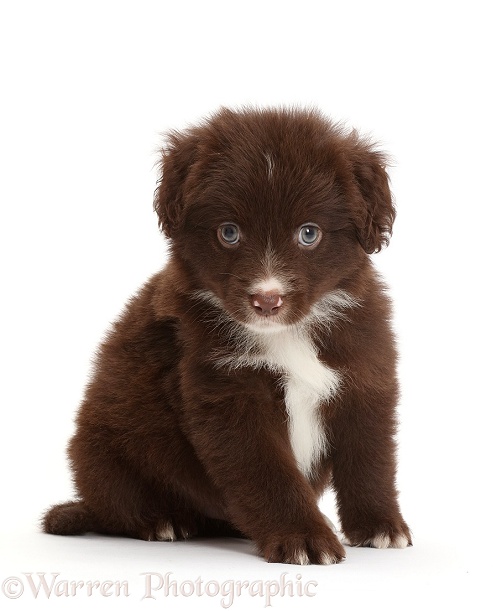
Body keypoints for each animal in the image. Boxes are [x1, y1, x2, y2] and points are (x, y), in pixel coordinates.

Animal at [42, 109, 412, 564]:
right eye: (229, 232)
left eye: (309, 233)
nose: (267, 299)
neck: (288, 335)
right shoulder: (226, 393)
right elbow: (268, 472)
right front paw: (303, 538)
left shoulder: (364, 374)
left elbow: (371, 459)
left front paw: (380, 526)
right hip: (100, 449)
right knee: (118, 507)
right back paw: (163, 521)